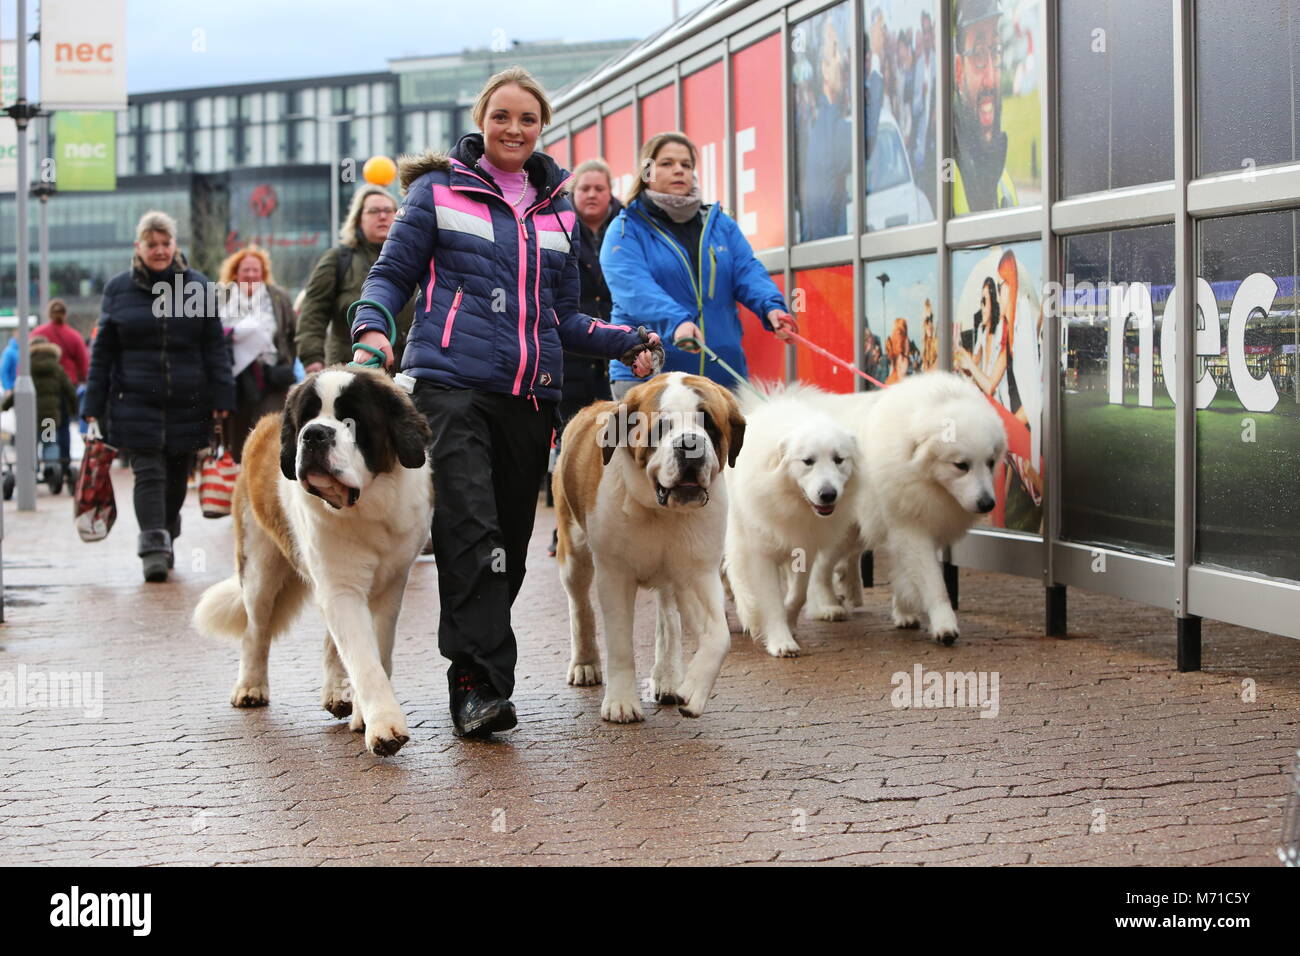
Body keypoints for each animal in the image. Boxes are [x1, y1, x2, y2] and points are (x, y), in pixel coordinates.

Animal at [192, 369, 434, 759]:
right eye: (306, 418)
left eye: (351, 421)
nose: (314, 433)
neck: (365, 507)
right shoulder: (340, 588)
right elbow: (364, 660)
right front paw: (383, 727)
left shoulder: (390, 585)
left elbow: (376, 652)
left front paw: (365, 715)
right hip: (260, 566)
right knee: (255, 630)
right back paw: (250, 686)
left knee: (329, 643)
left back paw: (338, 693)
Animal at [553, 369, 748, 723]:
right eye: (661, 427)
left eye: (709, 425)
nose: (690, 444)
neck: (660, 512)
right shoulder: (615, 576)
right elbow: (619, 643)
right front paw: (620, 702)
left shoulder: (699, 573)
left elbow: (719, 637)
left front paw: (692, 692)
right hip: (573, 551)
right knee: (579, 604)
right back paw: (585, 663)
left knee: (668, 618)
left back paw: (668, 678)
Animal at [722, 382, 863, 658]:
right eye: (808, 461)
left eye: (839, 460)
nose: (828, 494)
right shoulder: (760, 554)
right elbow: (771, 601)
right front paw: (781, 641)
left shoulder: (804, 547)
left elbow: (798, 595)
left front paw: (789, 621)